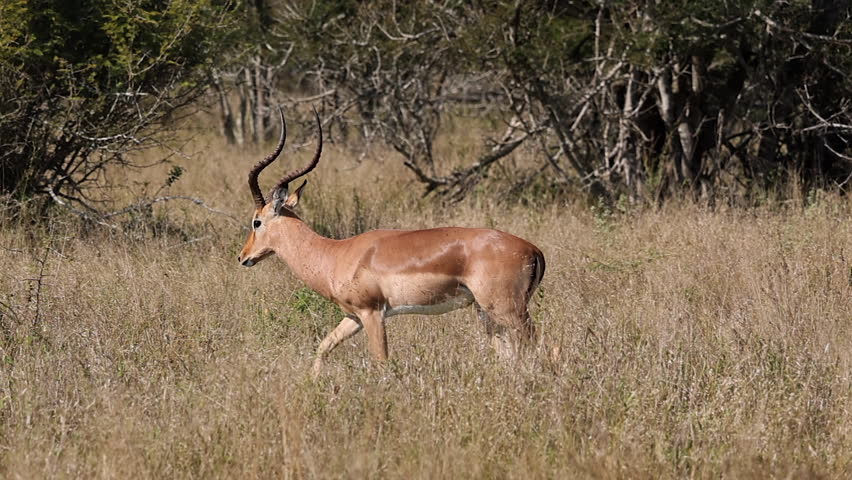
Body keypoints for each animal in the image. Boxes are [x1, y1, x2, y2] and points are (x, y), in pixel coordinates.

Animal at [237, 108, 545, 376]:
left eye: (256, 221)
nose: (243, 257)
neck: (335, 254)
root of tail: (534, 250)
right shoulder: (353, 317)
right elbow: (323, 346)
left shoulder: (372, 313)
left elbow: (381, 362)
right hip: (487, 312)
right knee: (509, 355)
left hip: (507, 310)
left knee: (537, 346)